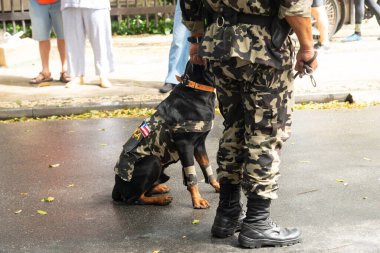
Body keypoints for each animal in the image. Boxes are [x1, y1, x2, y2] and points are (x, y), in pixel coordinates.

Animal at [111, 62, 220, 209]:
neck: (196, 88)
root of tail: (116, 188)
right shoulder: (185, 145)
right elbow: (192, 175)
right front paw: (197, 200)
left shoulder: (199, 145)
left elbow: (206, 167)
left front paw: (218, 186)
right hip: (153, 161)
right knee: (134, 198)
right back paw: (161, 200)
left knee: (146, 191)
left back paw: (159, 188)